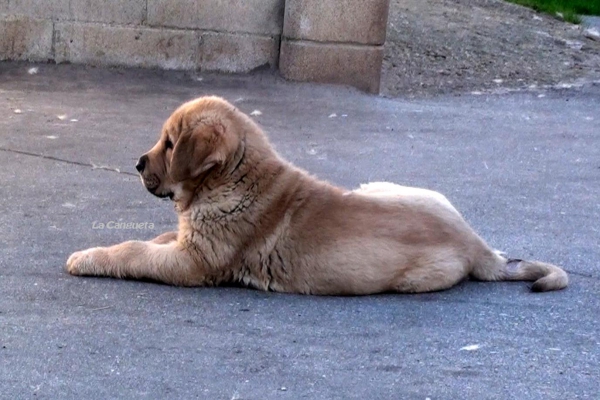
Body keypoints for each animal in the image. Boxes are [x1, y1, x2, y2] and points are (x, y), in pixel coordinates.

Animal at [65, 97, 568, 296]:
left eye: (170, 145)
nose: (137, 164)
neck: (232, 180)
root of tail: (479, 246)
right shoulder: (190, 241)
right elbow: (155, 239)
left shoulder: (196, 263)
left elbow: (135, 250)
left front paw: (87, 257)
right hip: (385, 185)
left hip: (411, 277)